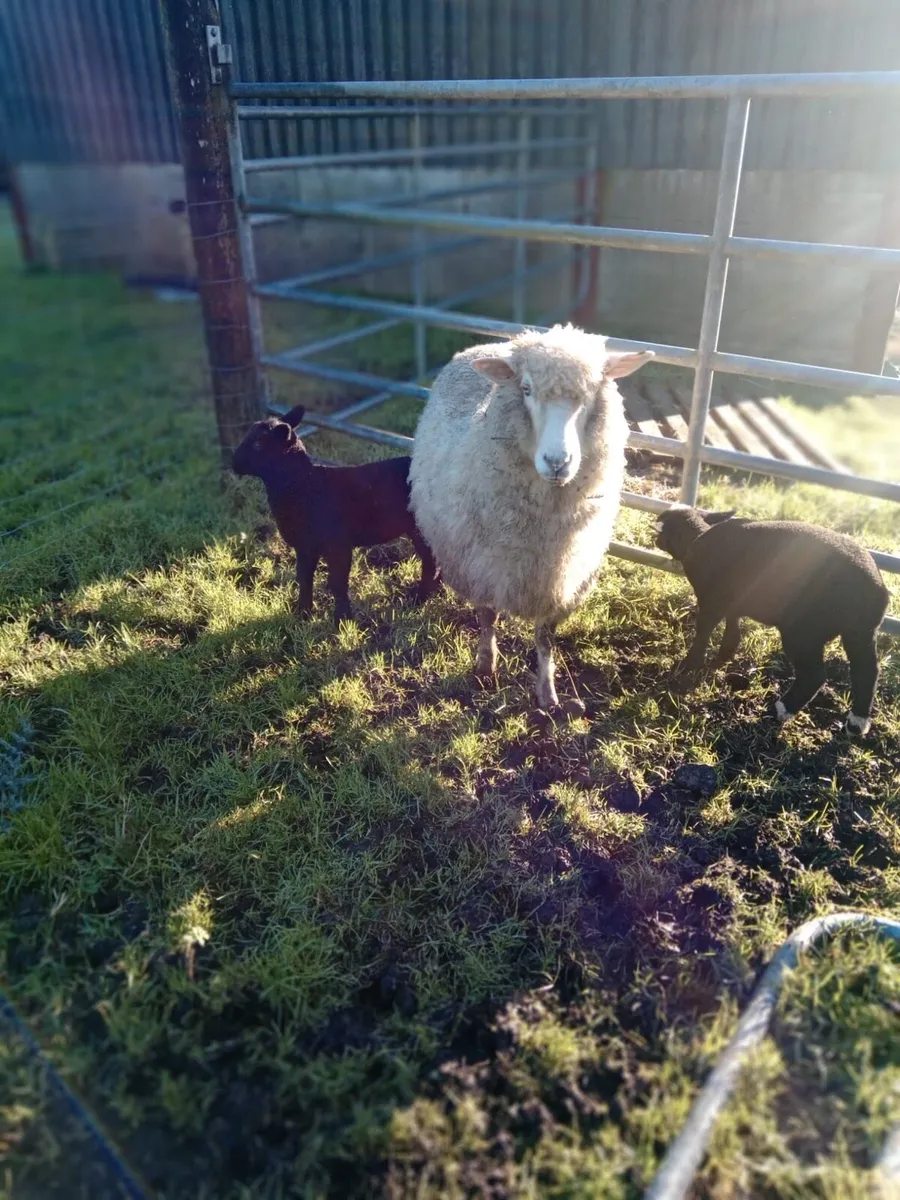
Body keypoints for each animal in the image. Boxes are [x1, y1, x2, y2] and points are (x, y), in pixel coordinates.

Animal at [232, 404, 440, 622]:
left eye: (258, 443)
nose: (233, 462)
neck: (304, 484)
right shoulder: (305, 546)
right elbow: (304, 578)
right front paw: (303, 613)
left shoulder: (338, 544)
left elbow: (337, 582)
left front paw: (342, 618)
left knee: (430, 561)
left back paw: (419, 598)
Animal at [408, 324, 653, 711]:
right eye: (525, 389)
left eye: (591, 391)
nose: (557, 462)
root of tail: (490, 344)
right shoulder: (483, 567)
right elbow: (487, 617)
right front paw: (485, 665)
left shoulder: (560, 578)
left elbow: (545, 637)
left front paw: (547, 694)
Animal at [654, 505, 890, 735]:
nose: (654, 539)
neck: (695, 538)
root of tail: (875, 590)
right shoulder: (734, 601)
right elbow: (733, 627)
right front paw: (724, 655)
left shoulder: (712, 600)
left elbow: (704, 630)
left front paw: (689, 664)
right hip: (860, 632)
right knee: (867, 671)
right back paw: (856, 723)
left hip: (804, 632)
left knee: (814, 676)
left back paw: (780, 710)